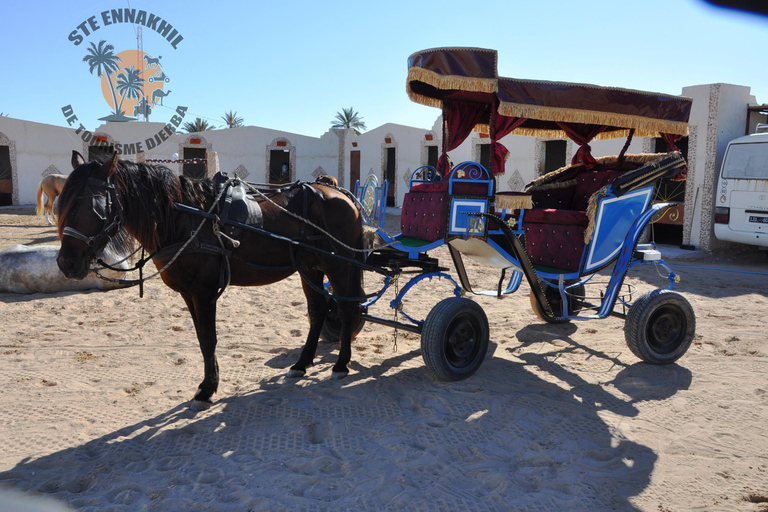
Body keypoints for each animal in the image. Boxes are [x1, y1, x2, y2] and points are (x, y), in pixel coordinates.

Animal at [55, 151, 364, 408]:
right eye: (63, 204)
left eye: (92, 205)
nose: (66, 263)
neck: (184, 218)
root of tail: (341, 194)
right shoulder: (188, 293)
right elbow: (202, 338)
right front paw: (207, 384)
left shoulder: (203, 292)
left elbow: (208, 338)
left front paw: (207, 390)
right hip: (310, 267)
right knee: (318, 310)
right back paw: (301, 363)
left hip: (338, 265)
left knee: (346, 307)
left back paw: (341, 364)